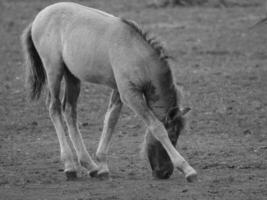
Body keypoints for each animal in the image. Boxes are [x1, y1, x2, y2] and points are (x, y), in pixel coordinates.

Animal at [21, 1, 197, 183]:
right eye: (173, 136)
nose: (165, 173)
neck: (137, 54)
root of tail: (37, 18)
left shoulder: (119, 91)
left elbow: (111, 121)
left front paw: (102, 166)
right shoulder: (129, 94)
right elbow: (156, 127)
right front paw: (187, 169)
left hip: (72, 76)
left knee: (69, 111)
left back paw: (90, 166)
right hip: (54, 70)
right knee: (54, 107)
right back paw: (70, 166)